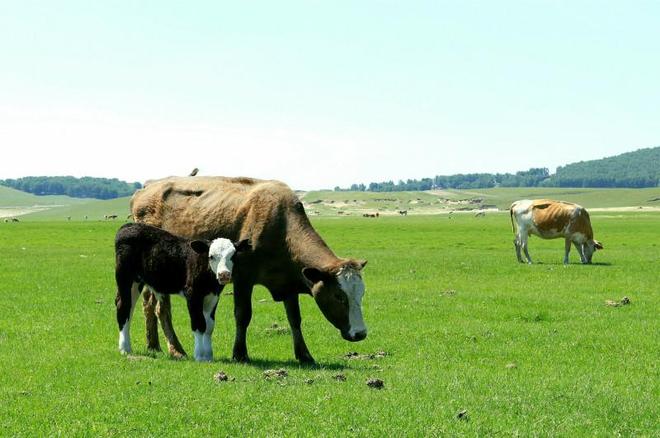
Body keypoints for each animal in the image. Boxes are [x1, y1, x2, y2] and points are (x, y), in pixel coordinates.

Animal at [113, 224, 250, 362]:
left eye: (233, 256)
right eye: (211, 256)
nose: (224, 274)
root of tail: (128, 226)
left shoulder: (213, 297)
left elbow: (209, 326)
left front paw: (208, 355)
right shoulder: (192, 295)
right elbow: (199, 324)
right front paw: (200, 355)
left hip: (137, 282)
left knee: (129, 309)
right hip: (125, 276)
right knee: (123, 306)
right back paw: (125, 348)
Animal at [129, 176, 366, 364]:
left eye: (361, 294)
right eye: (338, 296)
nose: (360, 333)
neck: (281, 226)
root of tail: (147, 188)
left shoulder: (288, 283)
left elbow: (295, 319)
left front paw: (304, 355)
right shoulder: (243, 278)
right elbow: (243, 315)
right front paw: (240, 353)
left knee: (149, 305)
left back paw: (154, 345)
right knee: (161, 309)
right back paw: (175, 349)